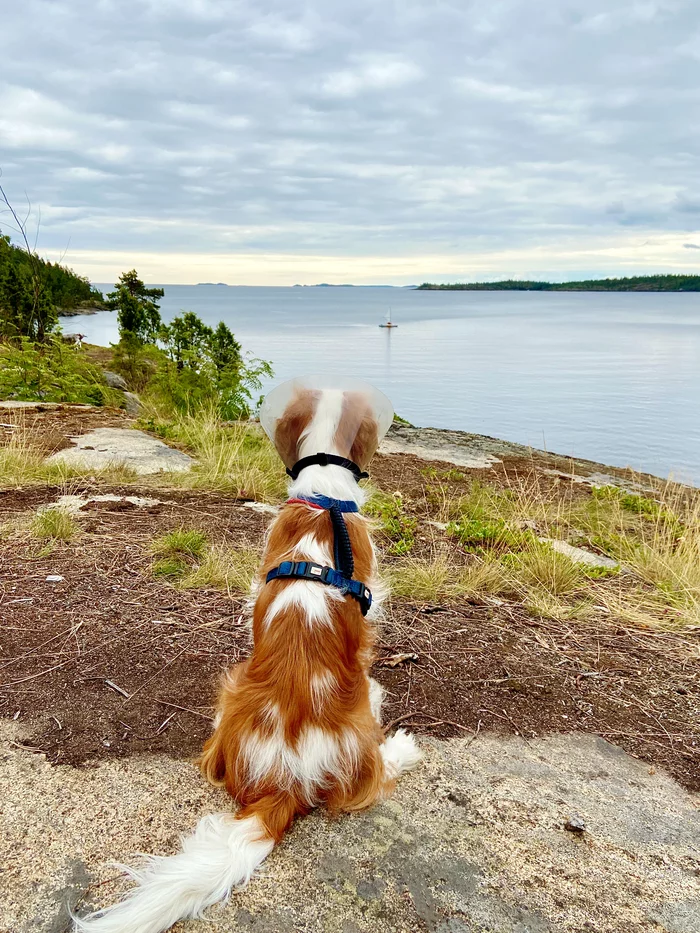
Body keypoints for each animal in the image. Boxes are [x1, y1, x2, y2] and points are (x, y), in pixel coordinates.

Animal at [74, 378, 424, 932]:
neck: (324, 501)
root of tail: (285, 781)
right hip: (360, 726)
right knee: (374, 772)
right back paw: (402, 749)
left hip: (233, 686)